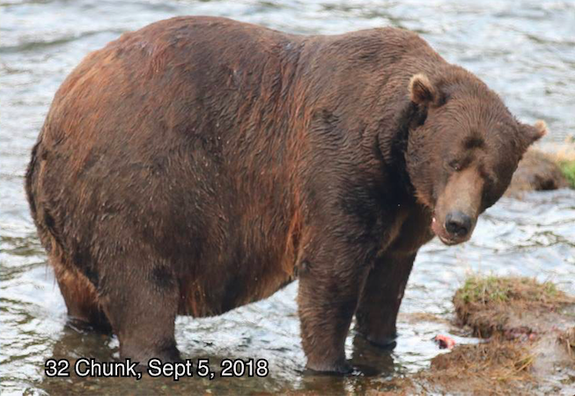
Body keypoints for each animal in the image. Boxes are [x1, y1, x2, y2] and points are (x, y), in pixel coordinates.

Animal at [24, 16, 548, 374]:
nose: (457, 222)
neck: (396, 159)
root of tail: (56, 114)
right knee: (142, 291)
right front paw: (332, 364)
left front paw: (380, 343)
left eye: (492, 174)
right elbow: (331, 276)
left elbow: (387, 283)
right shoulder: (338, 173)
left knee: (82, 295)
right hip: (137, 193)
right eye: (453, 160)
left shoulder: (404, 214)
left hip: (67, 224)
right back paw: (161, 353)